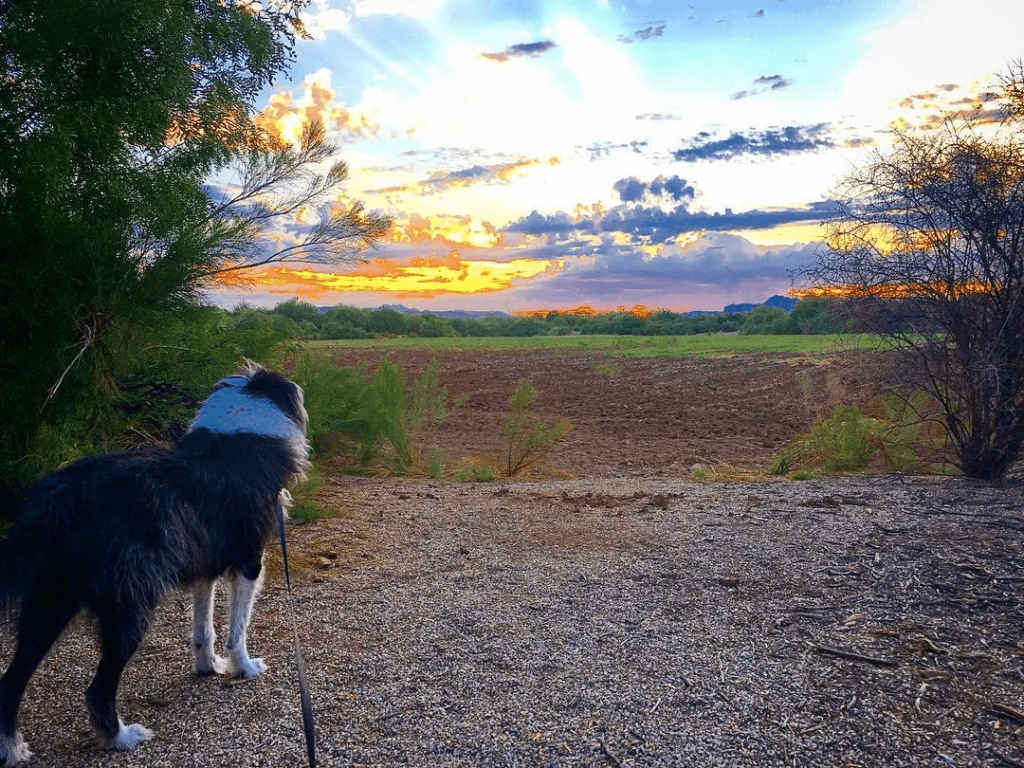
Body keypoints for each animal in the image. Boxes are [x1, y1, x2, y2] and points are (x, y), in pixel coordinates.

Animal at [0, 364, 307, 765]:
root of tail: (65, 495)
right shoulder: (249, 563)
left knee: (11, 680)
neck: (240, 434)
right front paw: (243, 668)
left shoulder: (204, 568)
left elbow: (203, 629)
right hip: (129, 607)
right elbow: (237, 630)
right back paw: (120, 738)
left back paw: (11, 748)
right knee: (97, 690)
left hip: (50, 603)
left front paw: (207, 667)